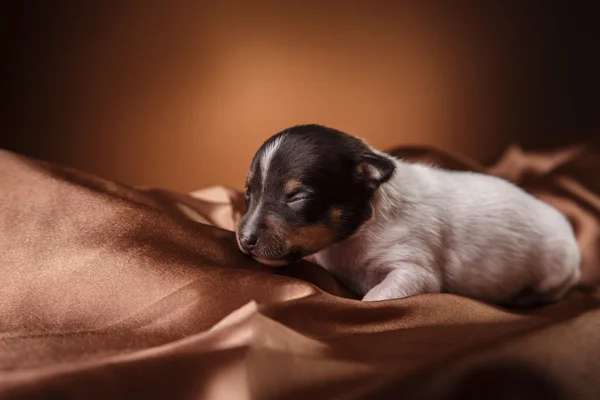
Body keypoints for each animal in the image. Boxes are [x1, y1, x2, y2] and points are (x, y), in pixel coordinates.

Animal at [236, 123, 580, 304]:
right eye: (249, 193)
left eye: (297, 198)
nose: (245, 240)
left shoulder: (412, 269)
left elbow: (377, 296)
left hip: (558, 267)